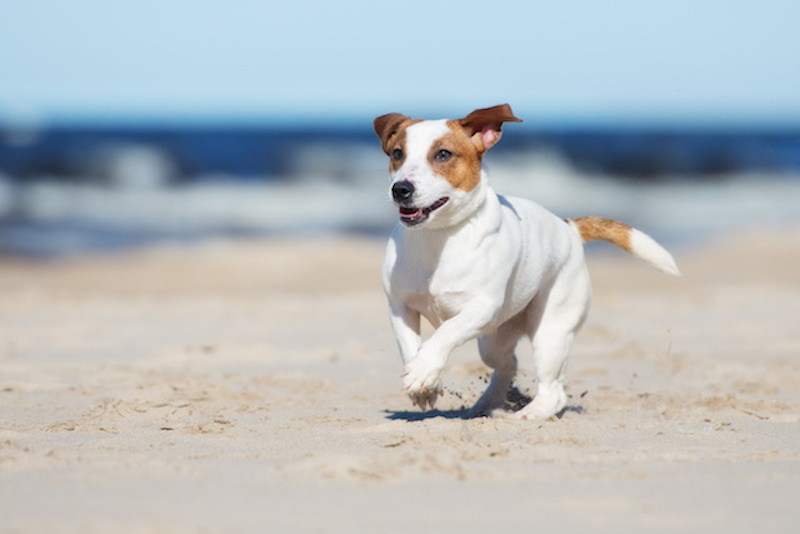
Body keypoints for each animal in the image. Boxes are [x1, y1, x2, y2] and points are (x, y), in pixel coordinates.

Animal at [372, 104, 680, 422]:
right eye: (398, 153)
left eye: (443, 154)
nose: (400, 189)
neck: (437, 238)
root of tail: (568, 228)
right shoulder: (400, 306)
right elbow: (410, 345)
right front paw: (424, 383)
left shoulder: (482, 308)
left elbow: (447, 331)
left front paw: (423, 370)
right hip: (494, 341)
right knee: (508, 364)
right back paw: (486, 404)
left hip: (550, 331)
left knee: (554, 391)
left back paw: (528, 414)